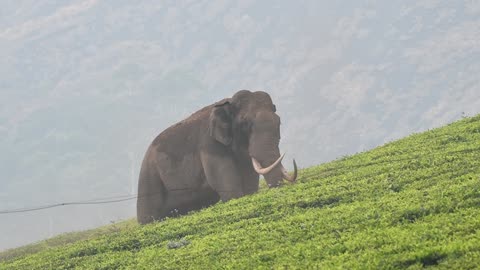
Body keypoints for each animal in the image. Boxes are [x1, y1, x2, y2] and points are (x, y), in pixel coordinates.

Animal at [136, 89, 296, 224]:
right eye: (245, 123)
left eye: (279, 122)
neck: (228, 103)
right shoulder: (209, 144)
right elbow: (228, 187)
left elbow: (249, 183)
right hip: (148, 177)